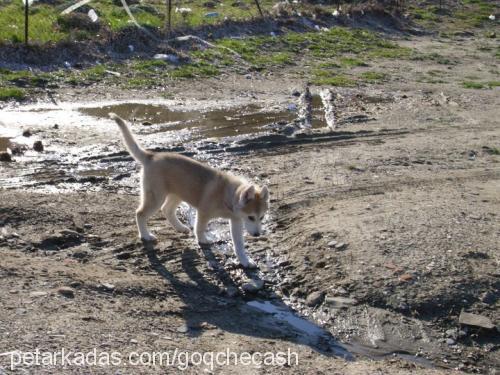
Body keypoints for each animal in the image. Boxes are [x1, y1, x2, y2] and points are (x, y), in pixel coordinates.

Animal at [108, 113, 268, 268]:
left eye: (261, 217)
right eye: (251, 217)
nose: (257, 235)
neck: (228, 196)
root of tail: (152, 156)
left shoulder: (236, 221)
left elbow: (239, 244)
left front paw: (245, 261)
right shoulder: (203, 212)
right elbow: (200, 228)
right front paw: (202, 240)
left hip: (177, 194)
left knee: (167, 210)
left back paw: (180, 227)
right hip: (156, 197)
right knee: (140, 213)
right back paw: (146, 235)